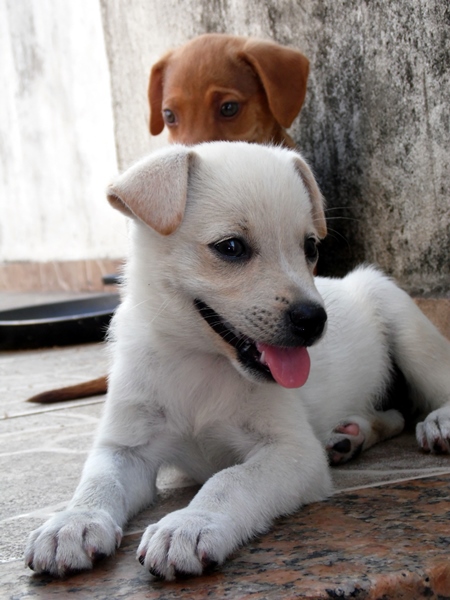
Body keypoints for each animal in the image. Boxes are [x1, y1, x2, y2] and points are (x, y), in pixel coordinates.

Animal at [25, 142, 450, 580]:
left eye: (310, 248)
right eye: (231, 247)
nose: (314, 320)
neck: (200, 361)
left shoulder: (291, 452)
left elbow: (231, 480)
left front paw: (189, 524)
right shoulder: (126, 448)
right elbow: (98, 480)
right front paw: (73, 521)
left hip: (402, 319)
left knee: (433, 383)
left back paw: (437, 422)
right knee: (394, 413)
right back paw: (348, 436)